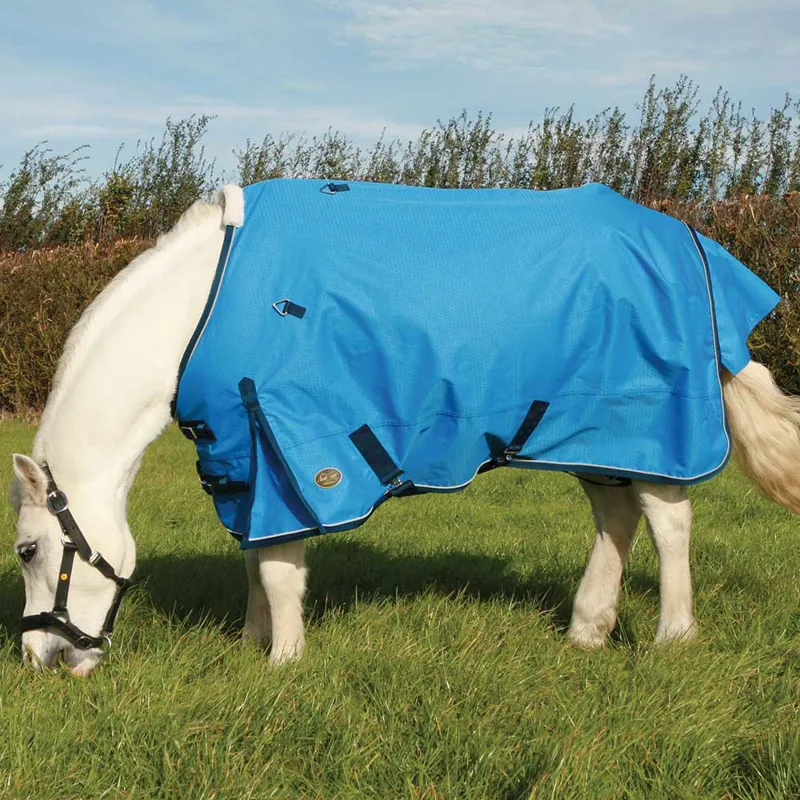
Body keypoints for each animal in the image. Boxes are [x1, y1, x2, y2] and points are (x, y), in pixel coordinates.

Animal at [9, 181, 800, 676]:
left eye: (26, 549)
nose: (39, 660)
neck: (198, 310)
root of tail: (689, 238)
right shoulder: (241, 455)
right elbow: (253, 556)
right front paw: (251, 640)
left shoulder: (293, 443)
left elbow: (278, 566)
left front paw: (283, 662)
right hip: (591, 431)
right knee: (616, 516)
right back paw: (586, 630)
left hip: (654, 419)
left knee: (669, 519)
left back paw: (672, 639)